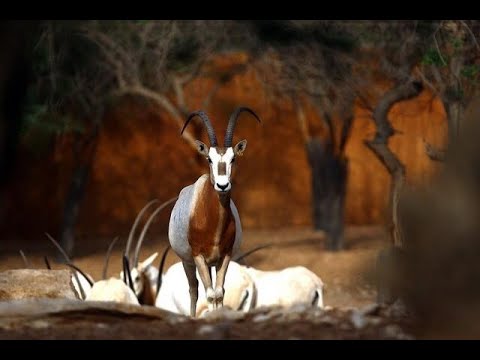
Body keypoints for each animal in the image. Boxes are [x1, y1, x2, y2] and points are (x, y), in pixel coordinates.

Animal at [168, 107, 258, 318]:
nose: (222, 185)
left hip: (211, 264)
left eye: (233, 158)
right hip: (187, 262)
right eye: (209, 158)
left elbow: (219, 292)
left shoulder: (224, 256)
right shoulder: (198, 256)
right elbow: (209, 294)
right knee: (194, 289)